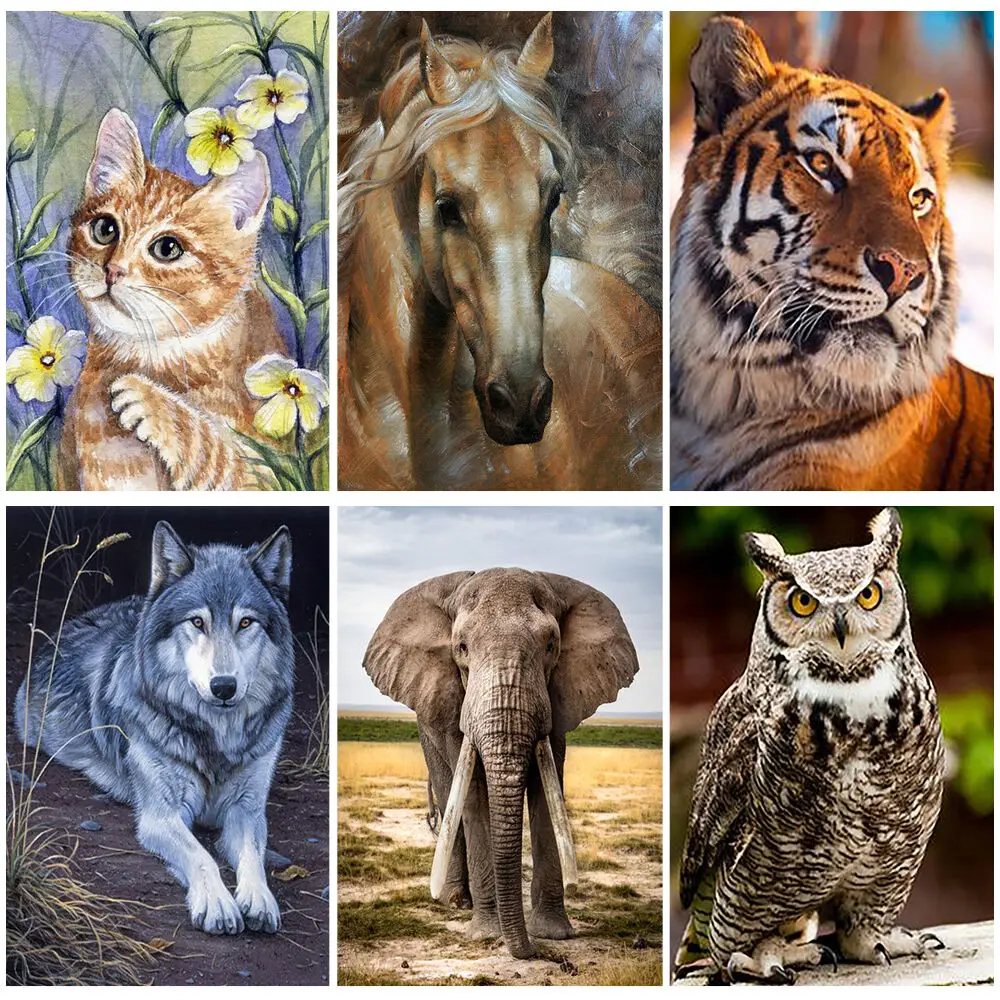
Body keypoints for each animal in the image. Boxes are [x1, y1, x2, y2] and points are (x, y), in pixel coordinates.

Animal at [363, 567, 639, 958]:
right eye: (462, 648)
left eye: (551, 646)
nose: (535, 952)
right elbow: (474, 796)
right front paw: (486, 935)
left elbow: (546, 791)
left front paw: (554, 933)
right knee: (449, 795)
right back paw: (455, 901)